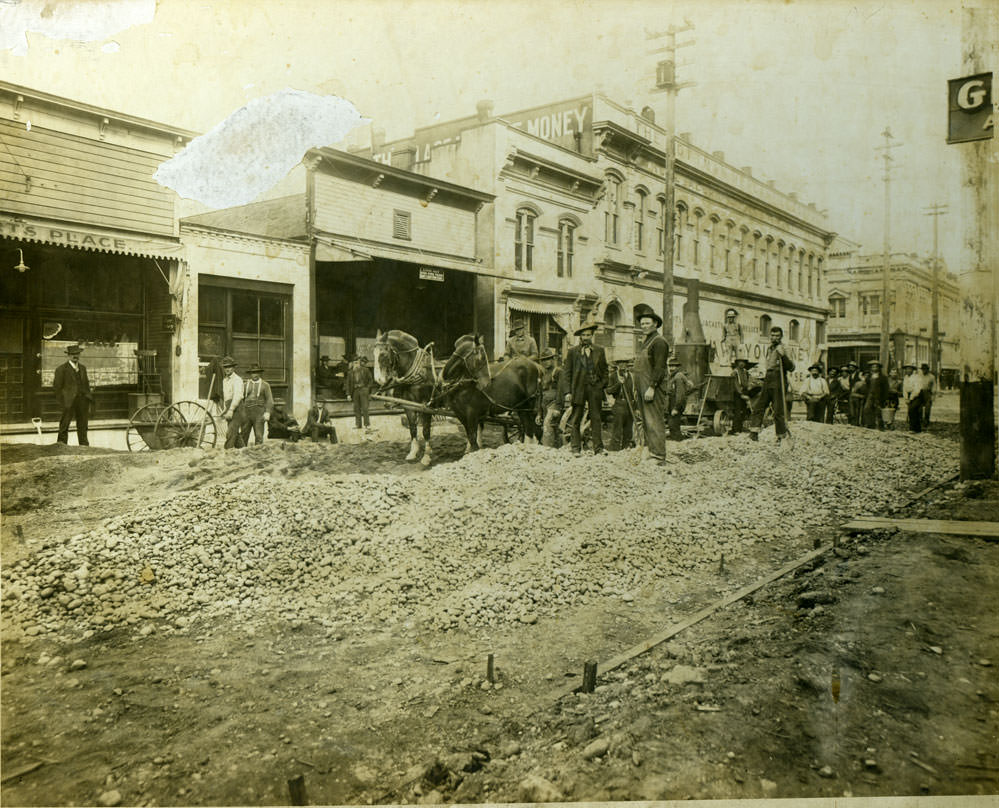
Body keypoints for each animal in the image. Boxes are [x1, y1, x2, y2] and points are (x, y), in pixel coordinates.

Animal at [374, 330, 436, 468]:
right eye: (373, 353)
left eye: (383, 353)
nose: (378, 379)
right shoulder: (409, 405)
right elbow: (413, 428)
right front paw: (413, 452)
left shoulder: (426, 405)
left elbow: (426, 430)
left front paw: (426, 456)